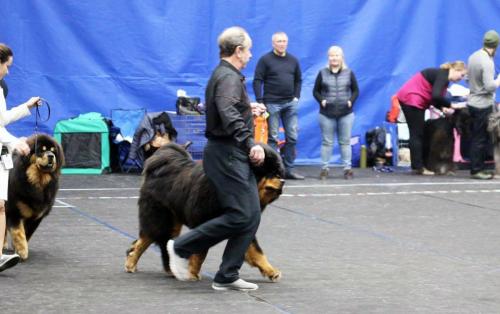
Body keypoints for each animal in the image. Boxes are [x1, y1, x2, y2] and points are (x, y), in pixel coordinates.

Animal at [125, 142, 286, 282]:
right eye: (272, 173)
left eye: (279, 172)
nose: (283, 181)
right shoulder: (204, 221)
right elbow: (200, 251)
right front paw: (193, 273)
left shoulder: (242, 224)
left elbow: (256, 252)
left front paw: (271, 271)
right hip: (160, 220)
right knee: (144, 242)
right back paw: (131, 263)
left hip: (172, 223)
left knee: (157, 242)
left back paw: (168, 268)